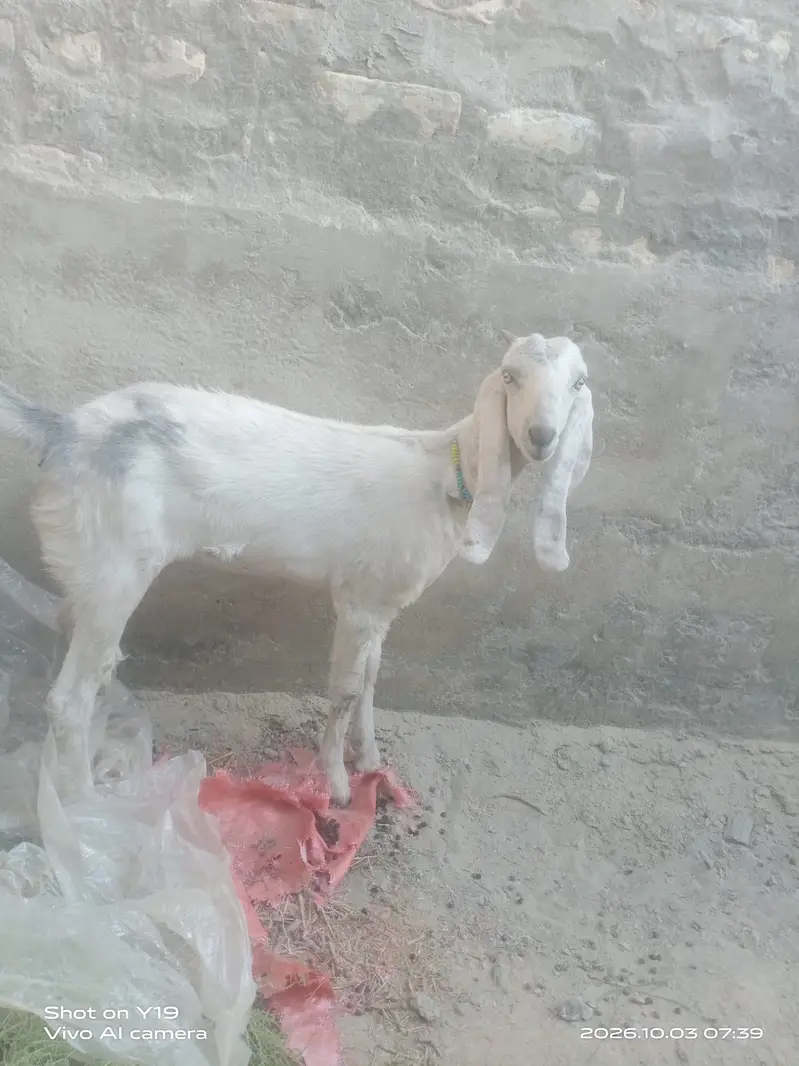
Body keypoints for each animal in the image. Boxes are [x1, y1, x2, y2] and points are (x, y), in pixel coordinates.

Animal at [0, 333, 594, 806]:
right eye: (511, 376)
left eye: (578, 382)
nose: (541, 436)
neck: (443, 473)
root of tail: (62, 430)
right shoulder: (358, 599)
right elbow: (347, 689)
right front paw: (337, 785)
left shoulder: (382, 602)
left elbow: (373, 678)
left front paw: (370, 759)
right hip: (117, 562)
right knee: (68, 699)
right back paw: (85, 810)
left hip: (88, 562)